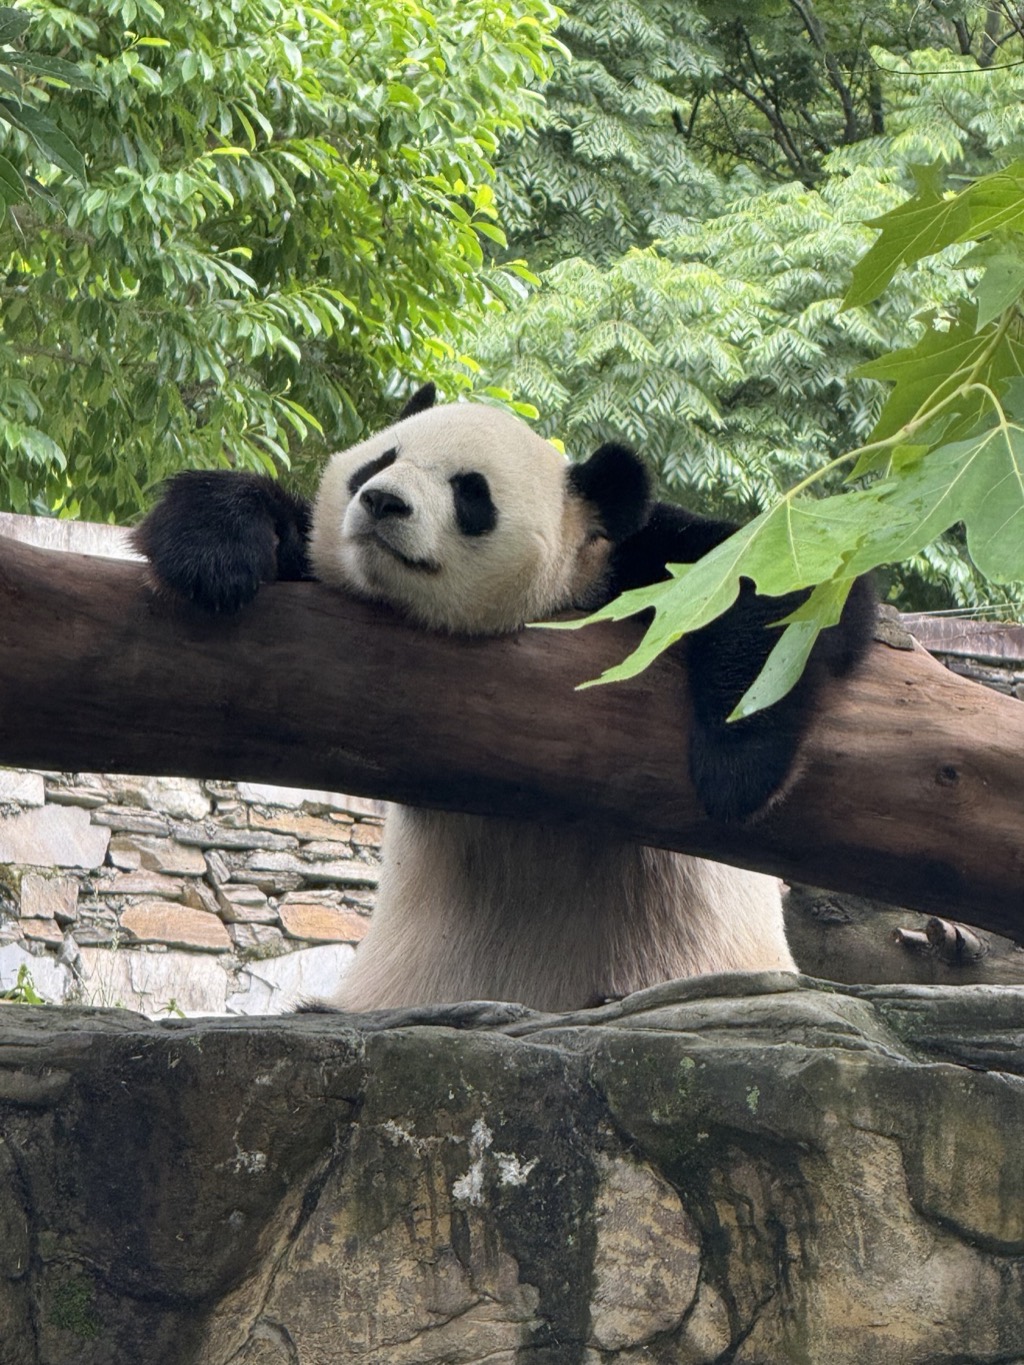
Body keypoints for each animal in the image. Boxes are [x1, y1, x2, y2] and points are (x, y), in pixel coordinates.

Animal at [134, 383, 874, 1013]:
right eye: (381, 458)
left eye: (470, 491)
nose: (381, 502)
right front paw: (213, 554)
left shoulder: (627, 564)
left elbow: (781, 582)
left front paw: (735, 763)